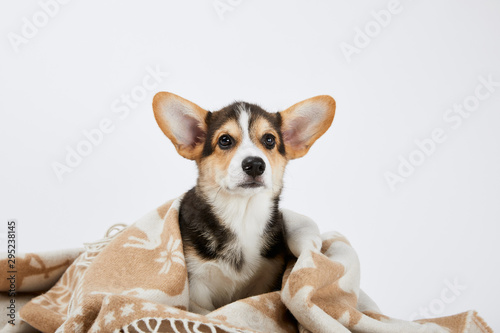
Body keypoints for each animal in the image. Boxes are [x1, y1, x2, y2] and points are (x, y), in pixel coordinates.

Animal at [152, 91, 336, 312]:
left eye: (269, 139)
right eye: (224, 140)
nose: (255, 164)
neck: (242, 214)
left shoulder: (266, 279)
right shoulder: (197, 287)